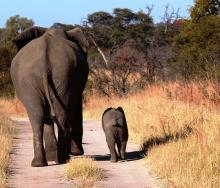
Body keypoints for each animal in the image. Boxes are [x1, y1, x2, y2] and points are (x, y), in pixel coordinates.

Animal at [10, 25, 105, 167]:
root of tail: (44, 64)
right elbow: (76, 107)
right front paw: (75, 153)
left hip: (50, 77)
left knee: (38, 114)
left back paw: (45, 162)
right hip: (52, 76)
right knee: (52, 115)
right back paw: (59, 159)